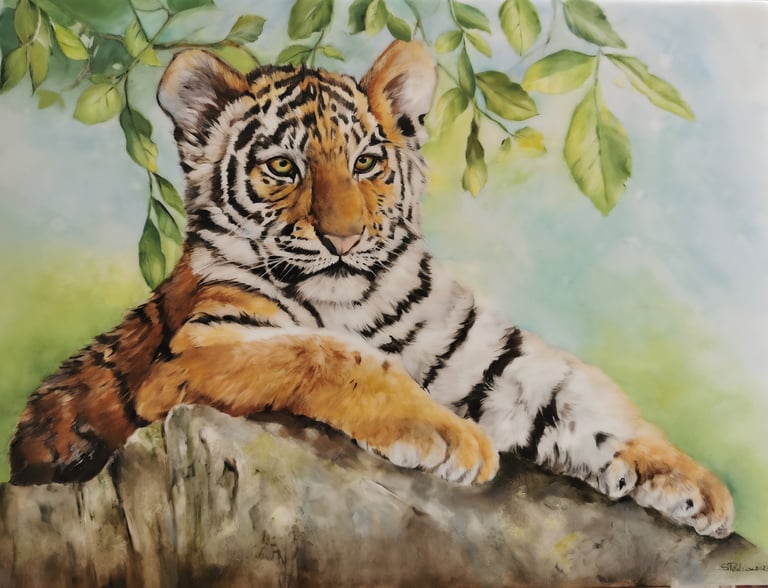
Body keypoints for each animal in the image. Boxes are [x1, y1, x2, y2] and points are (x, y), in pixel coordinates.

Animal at [9, 40, 733, 539]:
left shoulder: (487, 353)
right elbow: (327, 353)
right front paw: (448, 438)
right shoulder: (201, 350)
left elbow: (583, 392)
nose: (343, 238)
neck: (350, 299)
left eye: (366, 162)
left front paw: (691, 483)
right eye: (283, 167)